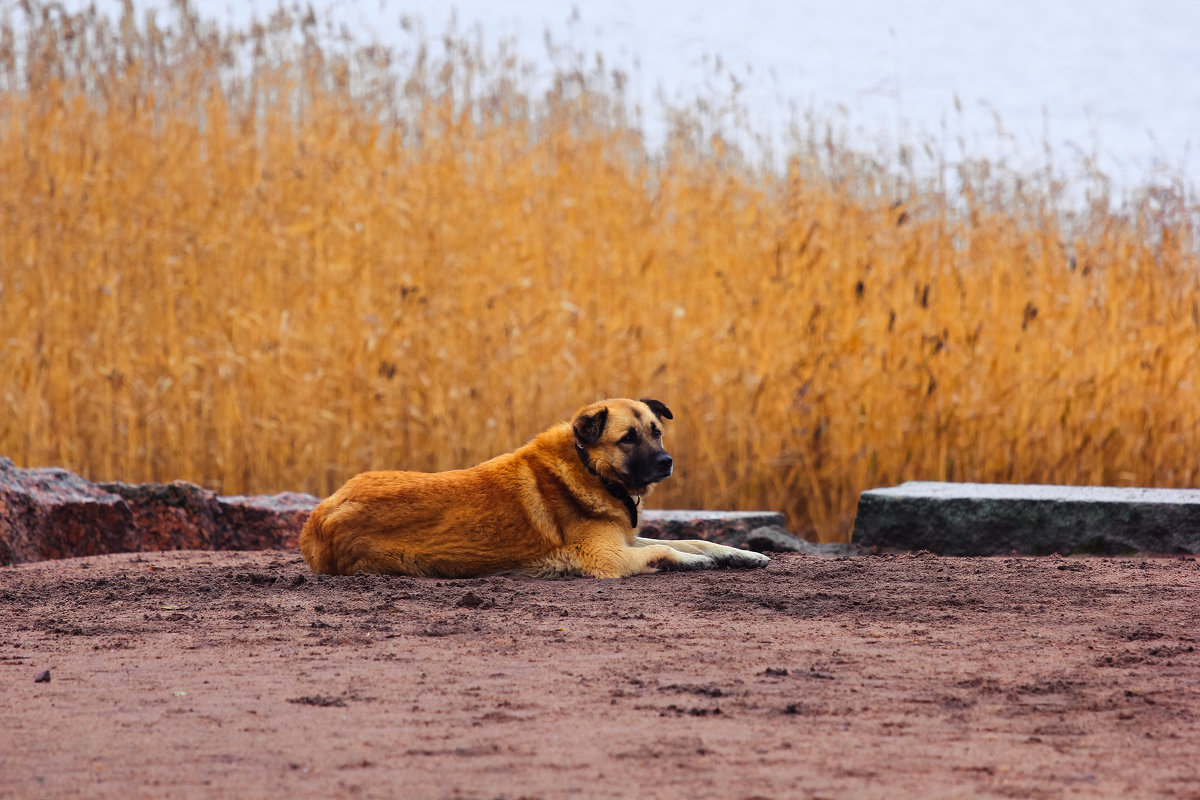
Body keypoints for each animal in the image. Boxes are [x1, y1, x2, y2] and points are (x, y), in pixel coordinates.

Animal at [300, 398, 768, 578]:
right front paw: (695, 563)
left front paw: (741, 554)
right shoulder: (607, 556)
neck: (589, 469)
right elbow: (670, 550)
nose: (667, 462)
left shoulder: (624, 538)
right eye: (628, 438)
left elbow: (692, 540)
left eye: (657, 432)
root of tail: (317, 518)